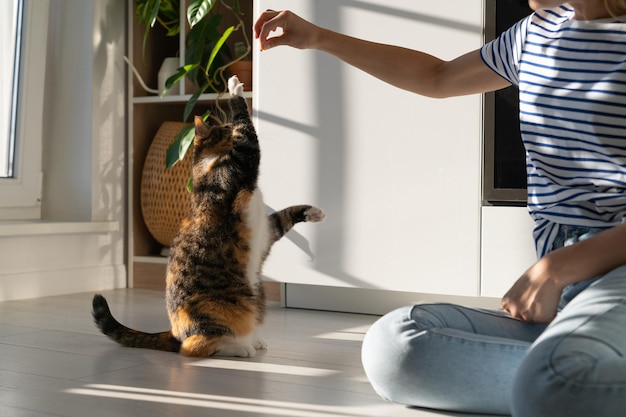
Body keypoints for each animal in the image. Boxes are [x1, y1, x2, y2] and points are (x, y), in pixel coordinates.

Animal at [94, 74, 326, 354]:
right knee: (193, 346)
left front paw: (312, 212)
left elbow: (282, 217)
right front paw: (234, 88)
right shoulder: (243, 158)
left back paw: (254, 340)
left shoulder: (266, 231)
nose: (227, 125)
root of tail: (174, 334)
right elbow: (247, 130)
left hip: (257, 297)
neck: (209, 163)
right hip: (221, 308)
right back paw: (241, 348)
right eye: (225, 128)